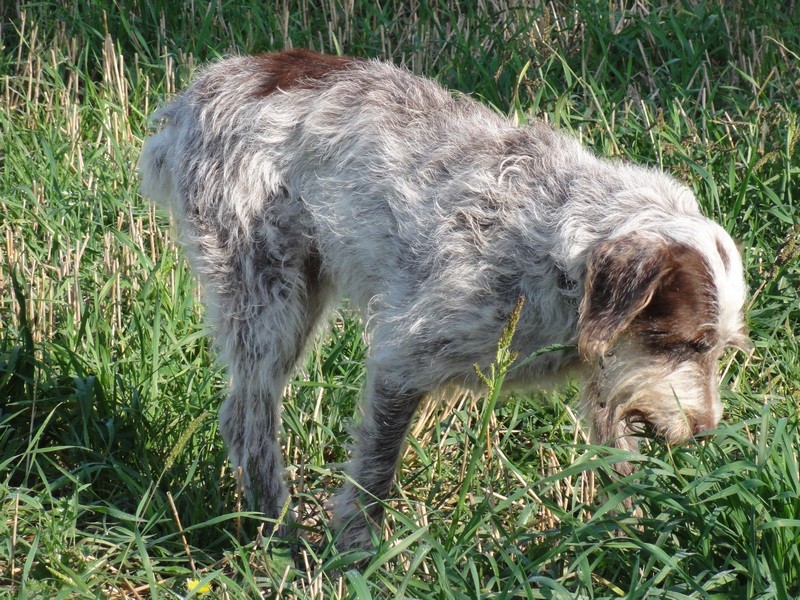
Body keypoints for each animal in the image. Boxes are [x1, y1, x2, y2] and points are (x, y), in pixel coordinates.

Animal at [139, 49, 752, 552]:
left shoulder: (608, 383)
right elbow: (376, 471)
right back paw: (280, 535)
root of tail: (207, 85)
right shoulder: (401, 361)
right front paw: (359, 555)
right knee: (249, 422)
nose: (706, 430)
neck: (556, 259)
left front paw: (629, 543)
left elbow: (618, 471)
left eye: (719, 349)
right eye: (684, 344)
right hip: (269, 299)